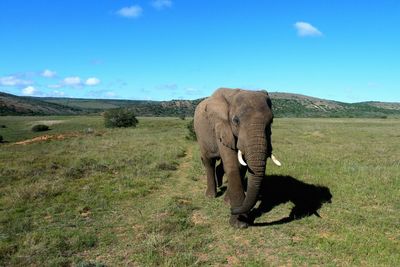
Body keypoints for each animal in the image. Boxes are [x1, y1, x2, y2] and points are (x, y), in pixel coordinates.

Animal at [194, 87, 282, 228]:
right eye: (236, 120)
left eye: (271, 121)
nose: (232, 210)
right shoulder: (222, 126)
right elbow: (232, 165)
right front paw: (239, 223)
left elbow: (241, 166)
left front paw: (228, 203)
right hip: (200, 135)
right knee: (209, 162)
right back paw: (210, 196)